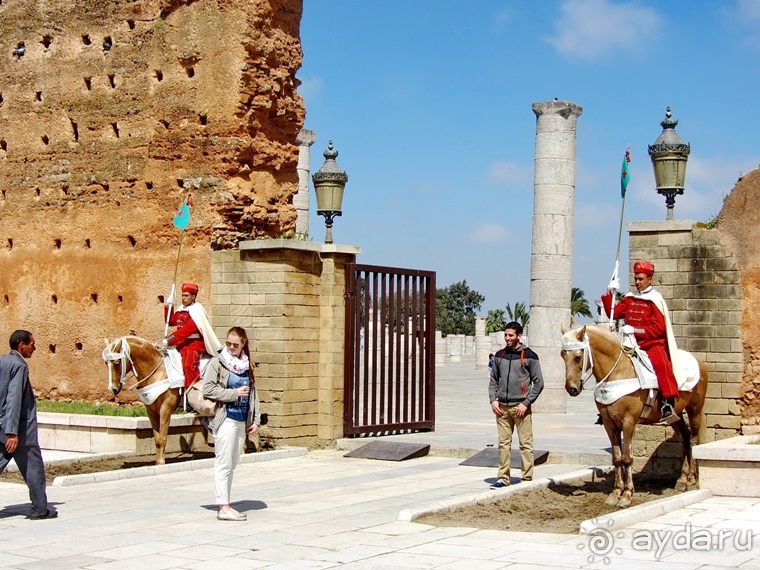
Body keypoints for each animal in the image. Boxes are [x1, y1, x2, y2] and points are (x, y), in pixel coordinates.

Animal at [103, 336, 182, 464]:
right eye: (106, 363)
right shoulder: (151, 411)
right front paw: (158, 463)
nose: (112, 389)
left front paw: (161, 463)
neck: (158, 373)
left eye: (117, 362)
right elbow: (157, 440)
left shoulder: (166, 409)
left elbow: (162, 438)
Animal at [560, 324, 708, 506]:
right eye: (562, 354)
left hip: (694, 409)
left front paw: (627, 495)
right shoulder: (609, 424)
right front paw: (616, 492)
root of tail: (698, 360)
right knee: (685, 438)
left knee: (694, 440)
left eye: (578, 356)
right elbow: (617, 458)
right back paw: (682, 480)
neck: (618, 372)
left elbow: (627, 458)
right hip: (674, 415)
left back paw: (692, 479)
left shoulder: (629, 422)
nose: (572, 388)